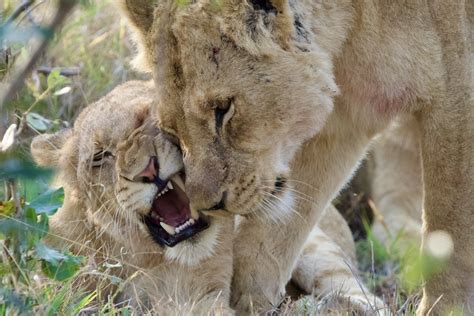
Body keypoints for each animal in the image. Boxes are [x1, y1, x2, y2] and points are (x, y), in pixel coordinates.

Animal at [30, 81, 386, 314]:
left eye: (152, 121)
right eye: (100, 156)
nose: (149, 169)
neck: (141, 255)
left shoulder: (197, 296)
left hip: (314, 248)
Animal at [121, 1, 474, 314]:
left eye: (223, 109)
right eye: (172, 128)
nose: (209, 206)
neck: (361, 20)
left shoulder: (457, 99)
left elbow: (450, 230)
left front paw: (447, 309)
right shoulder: (351, 111)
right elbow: (280, 227)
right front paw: (249, 300)